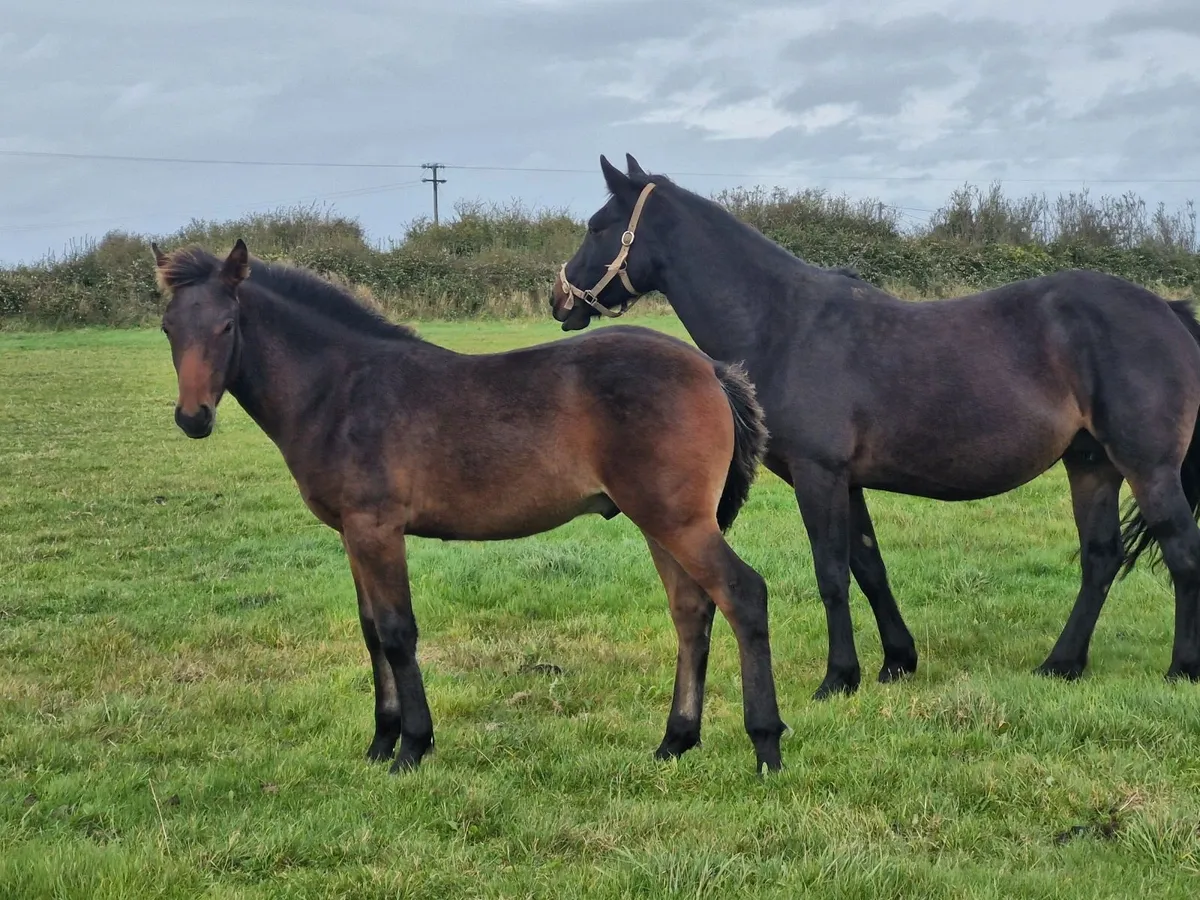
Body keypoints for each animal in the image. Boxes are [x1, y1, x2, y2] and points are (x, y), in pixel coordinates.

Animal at [152, 238, 787, 774]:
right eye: (167, 328)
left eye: (227, 324)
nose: (193, 419)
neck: (340, 389)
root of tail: (711, 368)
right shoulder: (351, 533)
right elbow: (370, 631)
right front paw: (380, 743)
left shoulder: (377, 529)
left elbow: (397, 632)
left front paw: (412, 746)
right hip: (661, 522)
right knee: (691, 611)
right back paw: (675, 741)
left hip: (678, 520)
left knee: (742, 595)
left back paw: (766, 746)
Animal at [551, 153, 1200, 699]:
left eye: (598, 226)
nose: (560, 300)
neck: (781, 323)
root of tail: (1166, 309)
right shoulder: (848, 480)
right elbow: (869, 566)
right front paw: (896, 662)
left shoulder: (818, 474)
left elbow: (831, 572)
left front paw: (839, 677)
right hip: (1091, 464)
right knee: (1101, 558)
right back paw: (1061, 664)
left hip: (1147, 467)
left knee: (1180, 548)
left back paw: (1180, 670)